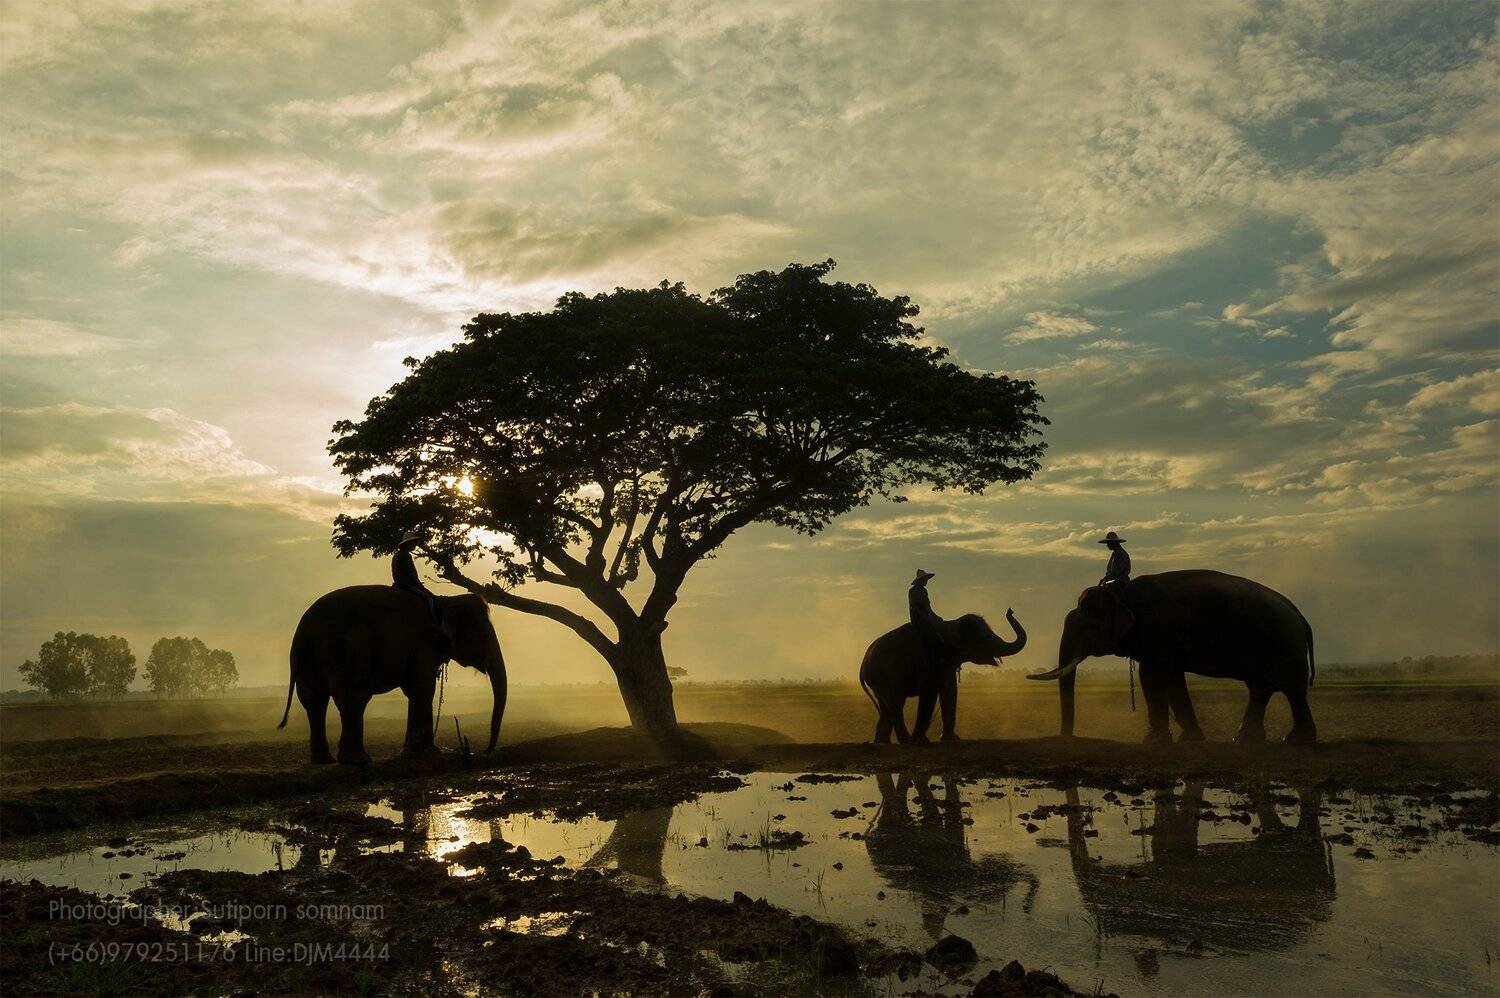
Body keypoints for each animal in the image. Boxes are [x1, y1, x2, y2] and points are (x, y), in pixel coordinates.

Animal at [277, 585, 507, 765]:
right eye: (486, 636)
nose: (482, 752)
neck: (444, 601)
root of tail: (303, 631)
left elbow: (416, 689)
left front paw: (429, 752)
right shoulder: (424, 645)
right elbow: (422, 688)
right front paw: (421, 754)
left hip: (309, 661)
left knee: (314, 701)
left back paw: (324, 761)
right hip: (347, 652)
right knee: (354, 699)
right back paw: (358, 761)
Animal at [860, 609, 1026, 743]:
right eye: (984, 638)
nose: (1009, 611)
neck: (950, 624)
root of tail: (864, 660)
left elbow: (950, 690)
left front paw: (951, 739)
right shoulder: (928, 659)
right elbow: (929, 691)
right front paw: (921, 741)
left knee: (886, 706)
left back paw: (882, 742)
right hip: (883, 675)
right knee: (895, 704)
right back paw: (906, 741)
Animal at [1028, 571, 1316, 744]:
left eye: (1088, 627)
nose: (1066, 737)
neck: (1122, 595)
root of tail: (1301, 616)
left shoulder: (1158, 630)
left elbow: (1151, 675)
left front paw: (1153, 741)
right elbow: (1173, 678)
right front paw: (1190, 740)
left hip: (1283, 644)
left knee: (1292, 689)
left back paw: (1296, 742)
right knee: (1260, 689)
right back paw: (1245, 740)